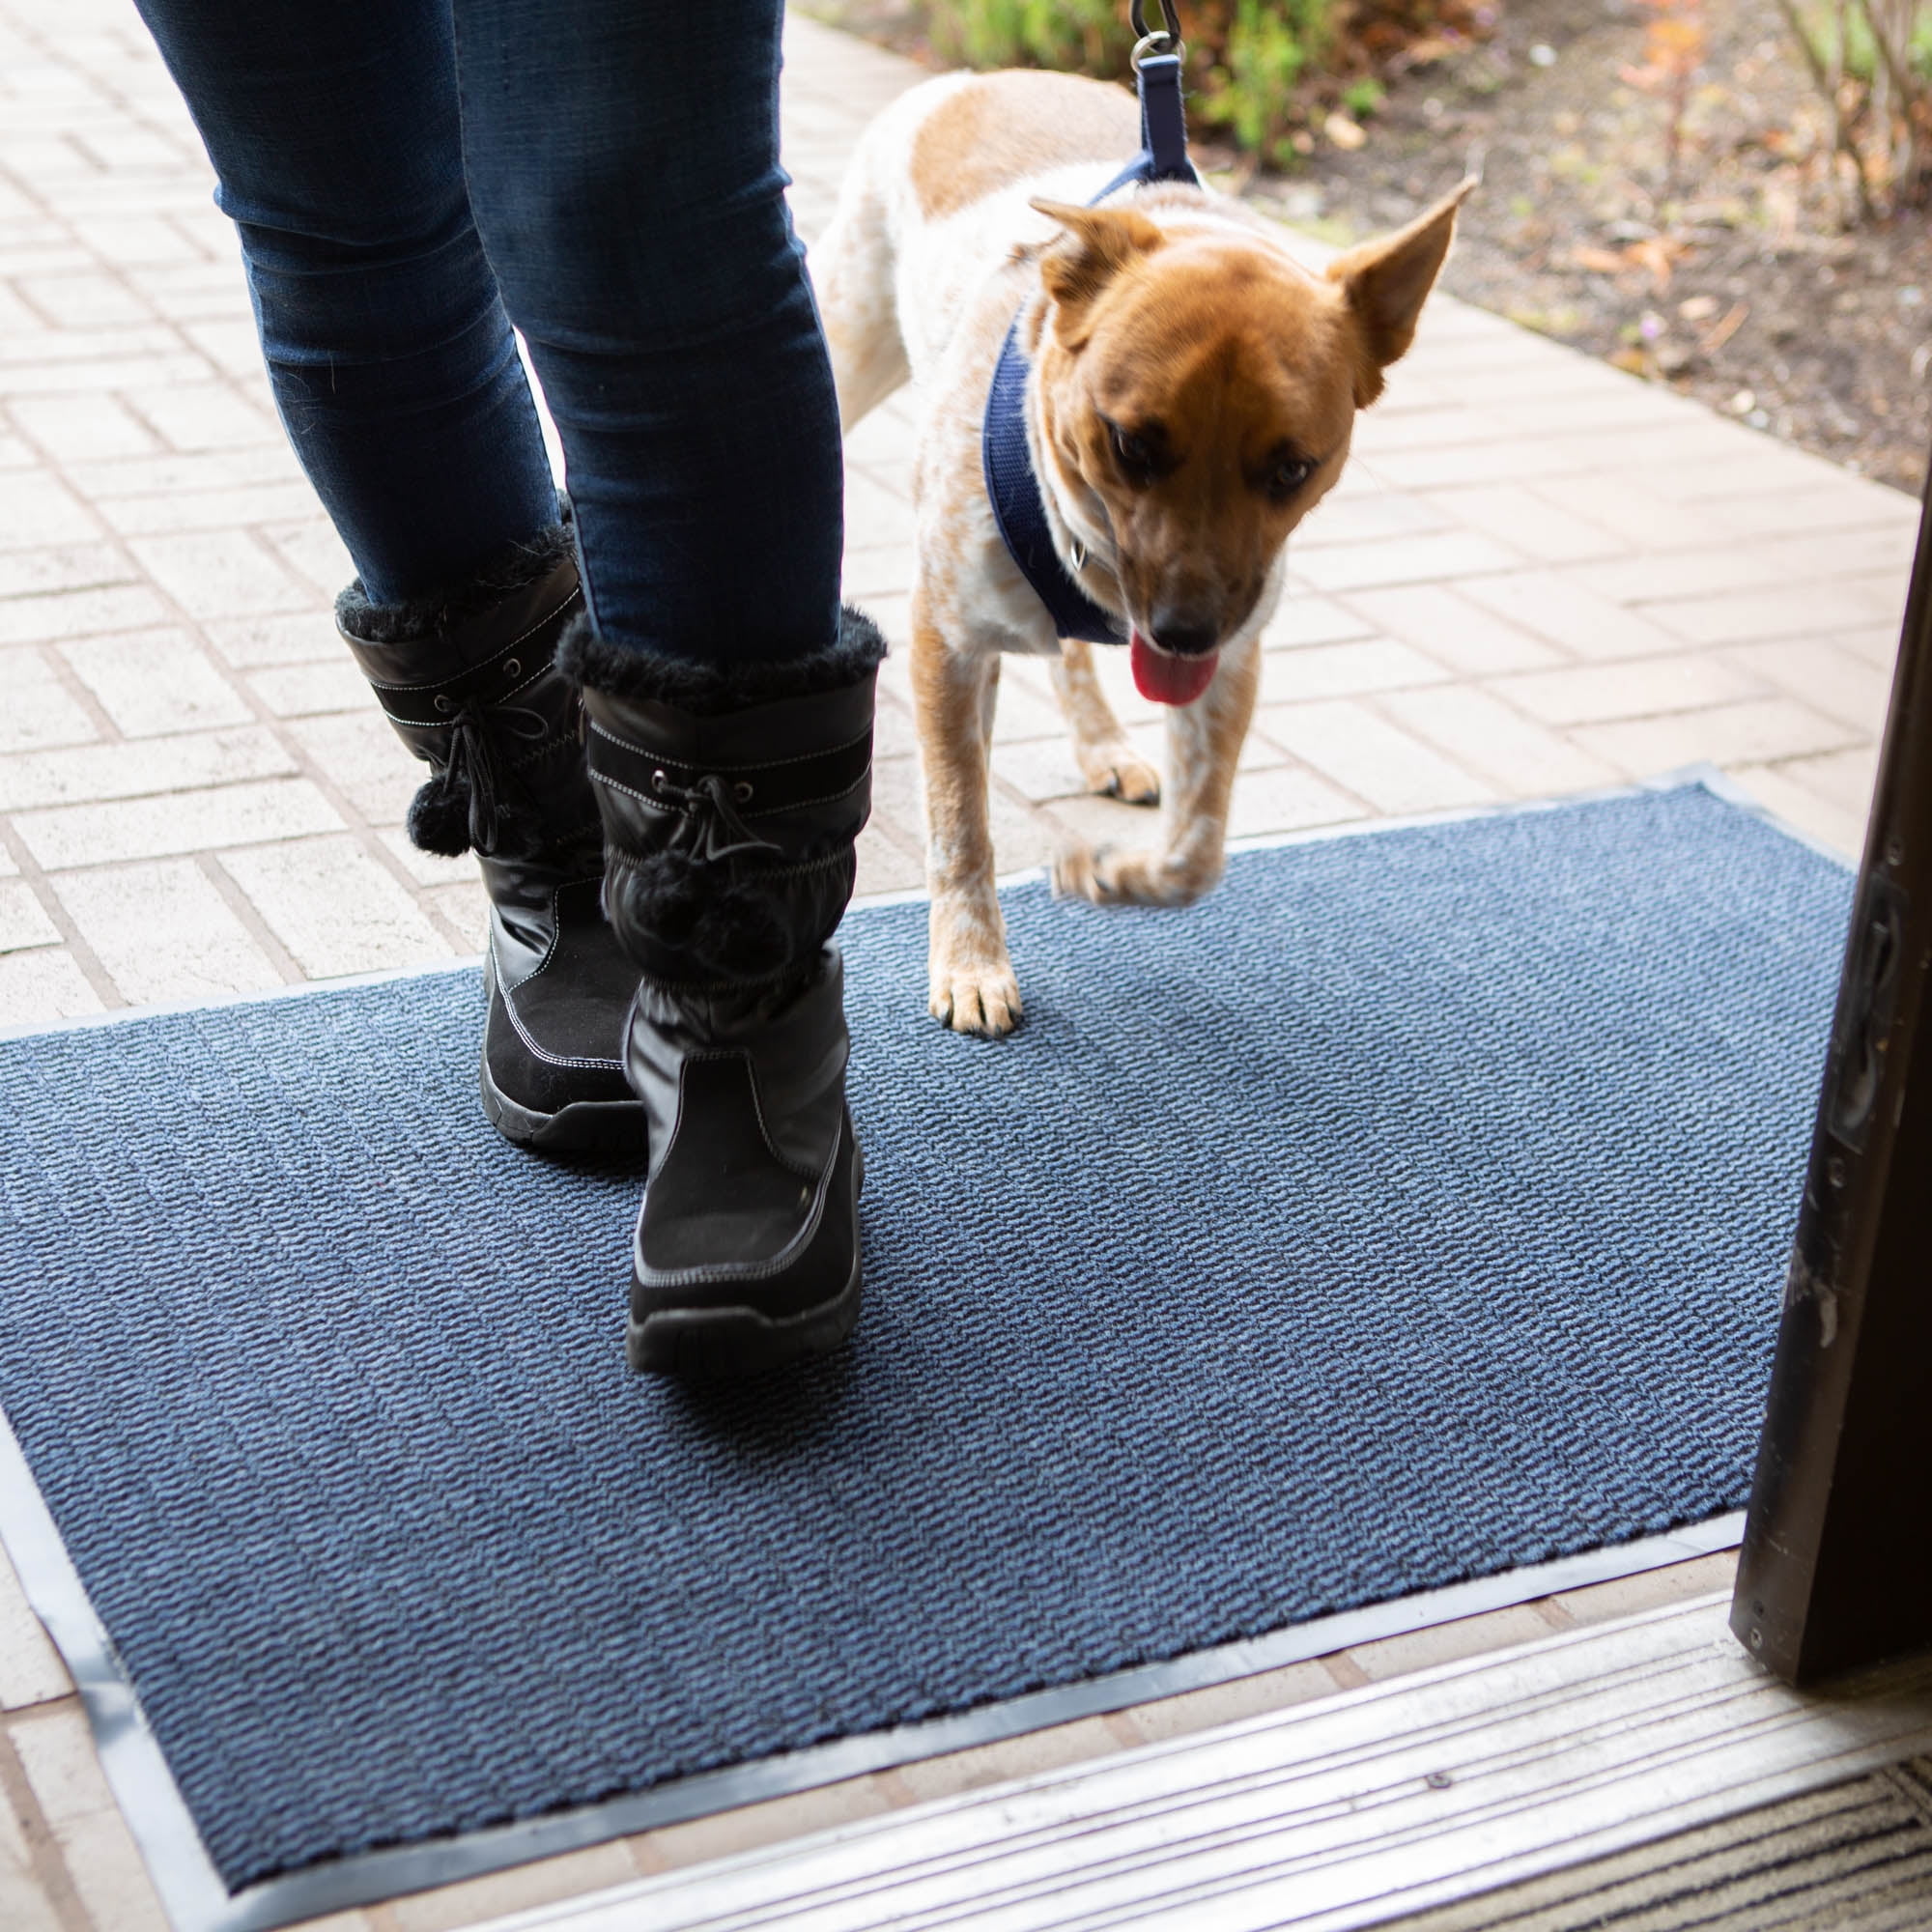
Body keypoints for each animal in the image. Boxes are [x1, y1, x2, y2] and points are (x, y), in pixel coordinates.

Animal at [811, 71, 1461, 1043]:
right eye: (1132, 444)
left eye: (1293, 468)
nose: (1182, 633)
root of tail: (976, 79)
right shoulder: (946, 640)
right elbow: (960, 821)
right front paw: (971, 964)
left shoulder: (1232, 661)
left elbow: (1197, 852)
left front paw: (1110, 875)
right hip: (845, 351)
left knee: (1070, 657)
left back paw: (1104, 744)